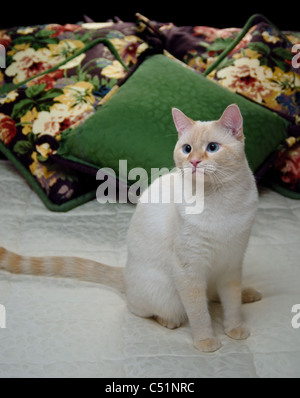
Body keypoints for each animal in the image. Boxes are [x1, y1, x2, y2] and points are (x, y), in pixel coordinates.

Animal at [0, 103, 260, 352]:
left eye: (213, 147)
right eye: (187, 149)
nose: (194, 162)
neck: (219, 200)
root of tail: (125, 273)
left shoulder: (231, 264)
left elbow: (231, 304)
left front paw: (235, 328)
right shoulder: (189, 271)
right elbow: (199, 313)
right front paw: (206, 340)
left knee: (216, 296)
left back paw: (248, 294)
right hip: (167, 296)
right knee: (145, 310)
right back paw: (169, 321)